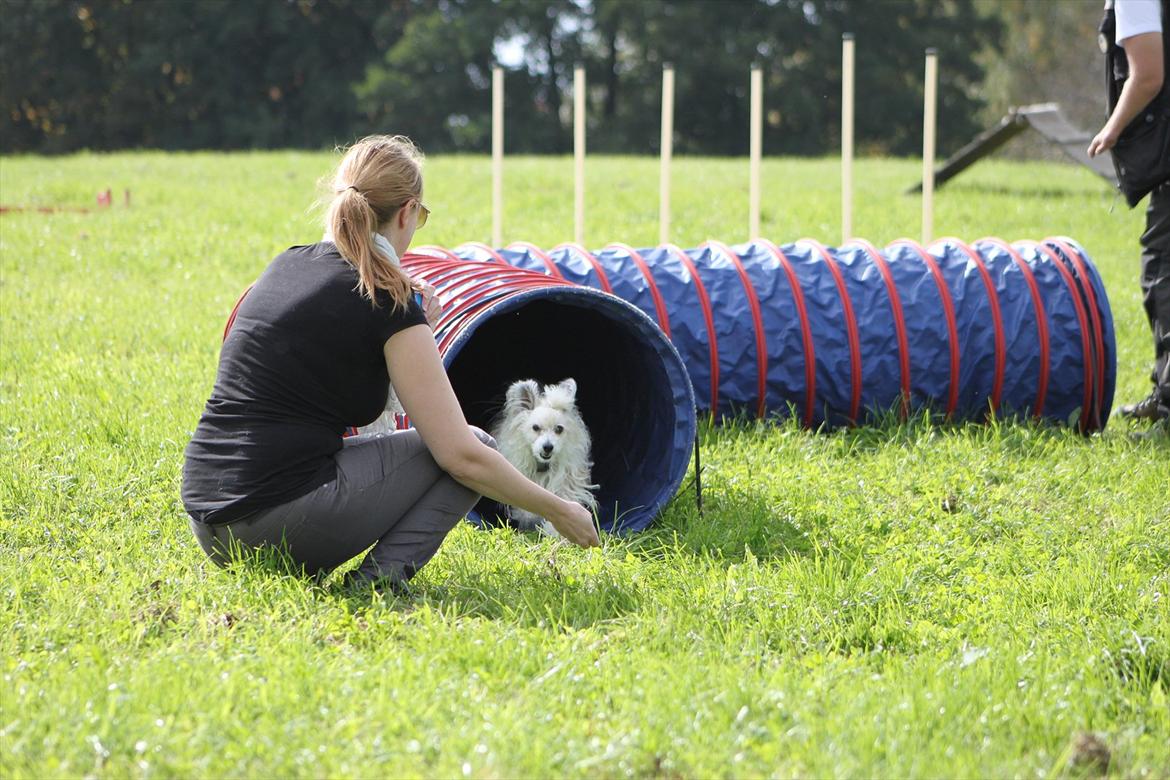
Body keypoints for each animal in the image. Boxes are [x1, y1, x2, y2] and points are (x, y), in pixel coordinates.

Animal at [489, 378, 599, 537]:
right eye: (535, 427)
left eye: (559, 429)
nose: (548, 447)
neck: (542, 464)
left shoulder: (565, 480)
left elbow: (564, 500)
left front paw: (555, 531)